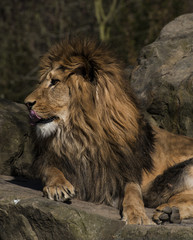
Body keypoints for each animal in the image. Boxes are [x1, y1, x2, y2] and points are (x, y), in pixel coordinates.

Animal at [24, 37, 193, 225]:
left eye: (54, 82)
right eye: (41, 82)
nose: (27, 103)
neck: (82, 134)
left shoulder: (125, 172)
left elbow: (133, 192)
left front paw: (137, 215)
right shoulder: (51, 159)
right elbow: (51, 170)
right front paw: (58, 186)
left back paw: (168, 212)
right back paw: (170, 213)